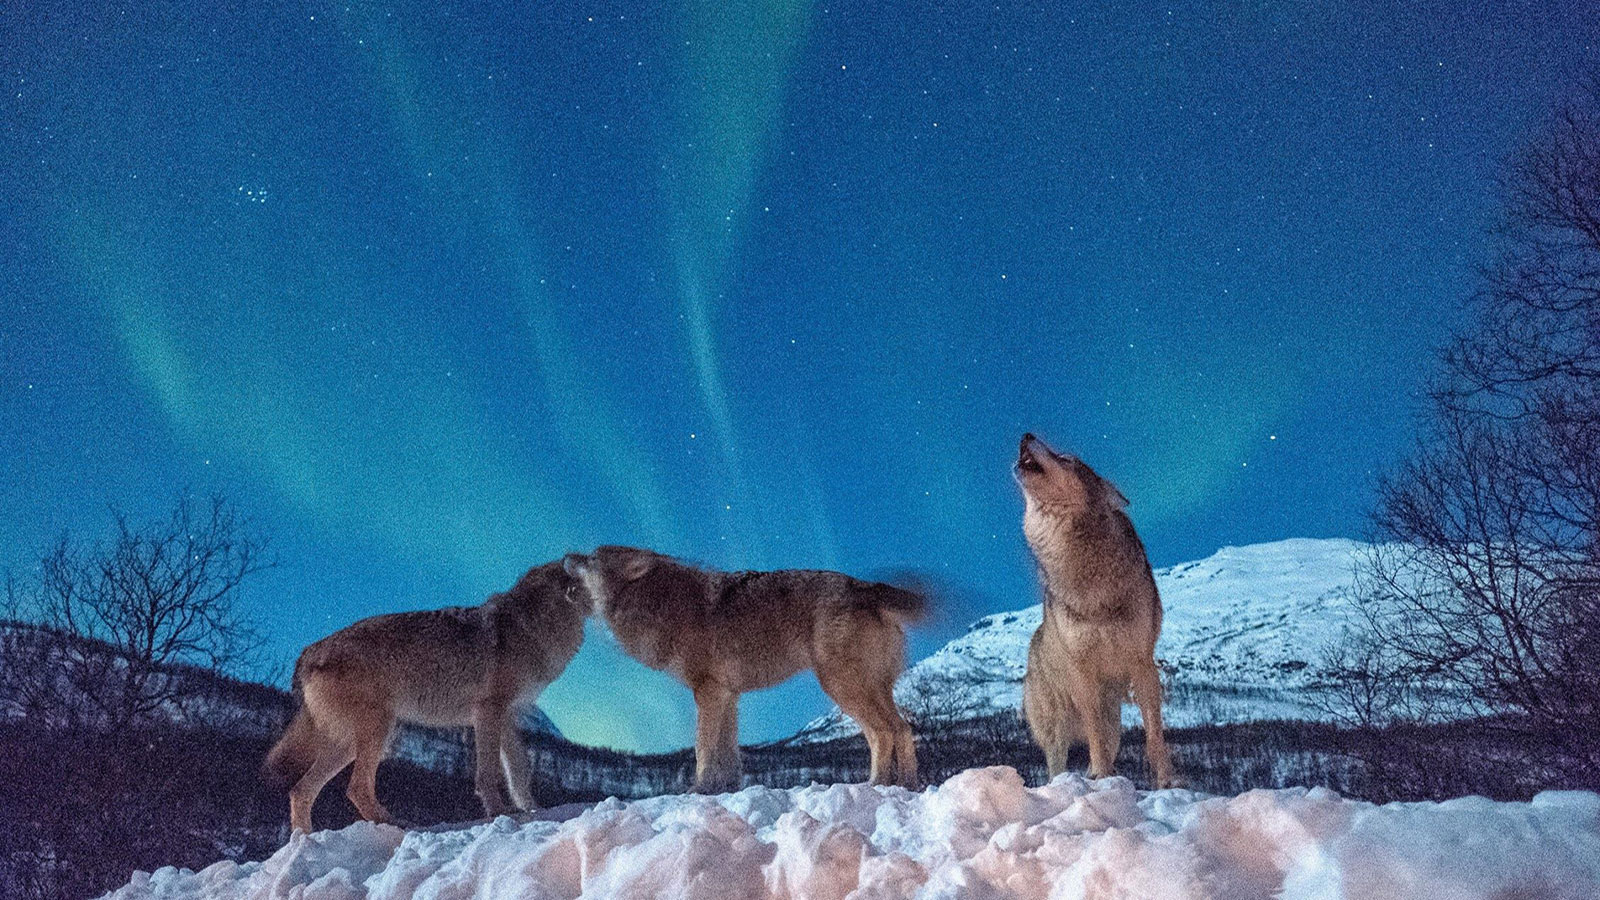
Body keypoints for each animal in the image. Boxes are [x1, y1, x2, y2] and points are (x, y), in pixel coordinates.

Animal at [262, 557, 588, 832]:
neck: (534, 625)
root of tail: (308, 652)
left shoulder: (507, 716)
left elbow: (519, 771)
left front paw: (532, 810)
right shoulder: (488, 711)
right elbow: (488, 773)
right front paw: (499, 813)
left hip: (352, 743)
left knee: (302, 791)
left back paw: (302, 843)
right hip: (380, 730)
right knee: (355, 788)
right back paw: (396, 824)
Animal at [569, 544, 934, 787]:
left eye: (592, 557)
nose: (567, 556)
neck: (656, 604)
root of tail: (866, 586)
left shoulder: (708, 692)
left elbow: (703, 749)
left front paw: (698, 791)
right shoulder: (728, 696)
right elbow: (730, 754)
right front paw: (727, 791)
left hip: (841, 687)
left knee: (885, 732)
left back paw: (876, 785)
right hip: (867, 690)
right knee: (900, 729)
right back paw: (906, 786)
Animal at [1017, 432, 1184, 781]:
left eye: (1066, 458)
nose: (1026, 436)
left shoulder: (1142, 663)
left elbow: (1154, 735)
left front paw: (1166, 781)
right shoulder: (1084, 673)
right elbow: (1095, 740)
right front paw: (1106, 780)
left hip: (1115, 722)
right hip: (1056, 729)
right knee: (1057, 764)